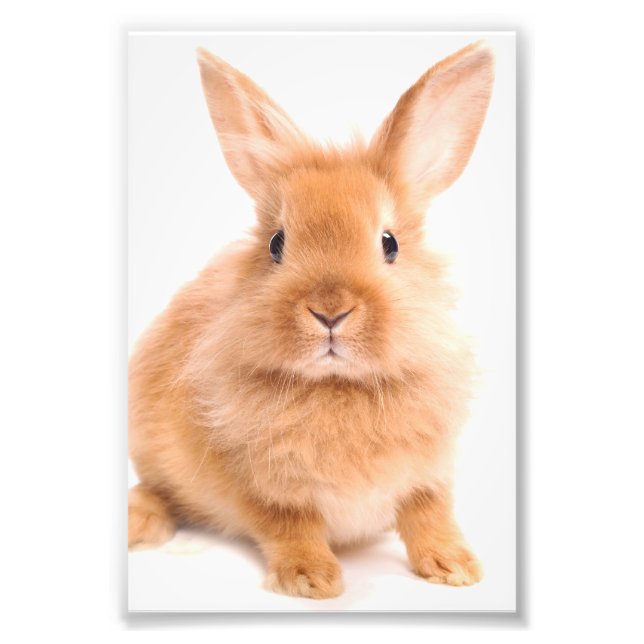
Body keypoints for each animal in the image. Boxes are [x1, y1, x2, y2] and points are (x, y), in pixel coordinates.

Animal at [128, 40, 495, 600]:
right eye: (277, 244)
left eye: (390, 243)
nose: (329, 310)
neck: (338, 387)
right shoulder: (262, 489)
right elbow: (290, 526)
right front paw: (312, 580)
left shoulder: (428, 475)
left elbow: (429, 515)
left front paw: (456, 568)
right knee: (157, 490)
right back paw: (139, 523)